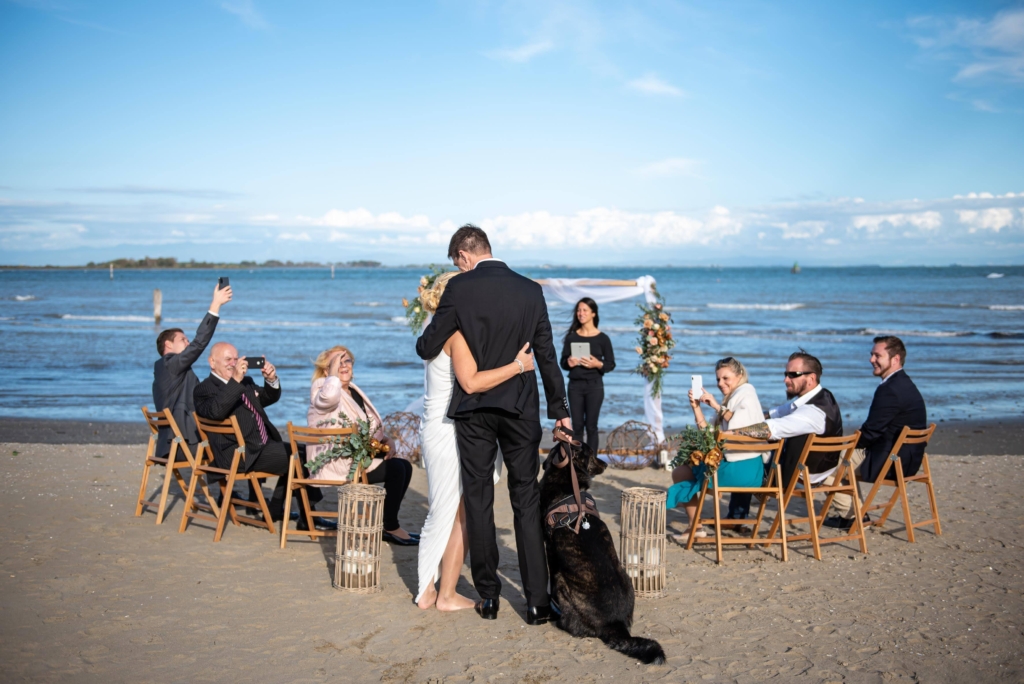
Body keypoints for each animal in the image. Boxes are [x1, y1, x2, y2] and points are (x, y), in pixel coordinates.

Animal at [540, 436, 667, 663]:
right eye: (592, 454)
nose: (606, 464)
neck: (567, 481)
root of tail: (615, 625)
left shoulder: (551, 552)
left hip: (563, 582)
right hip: (627, 578)